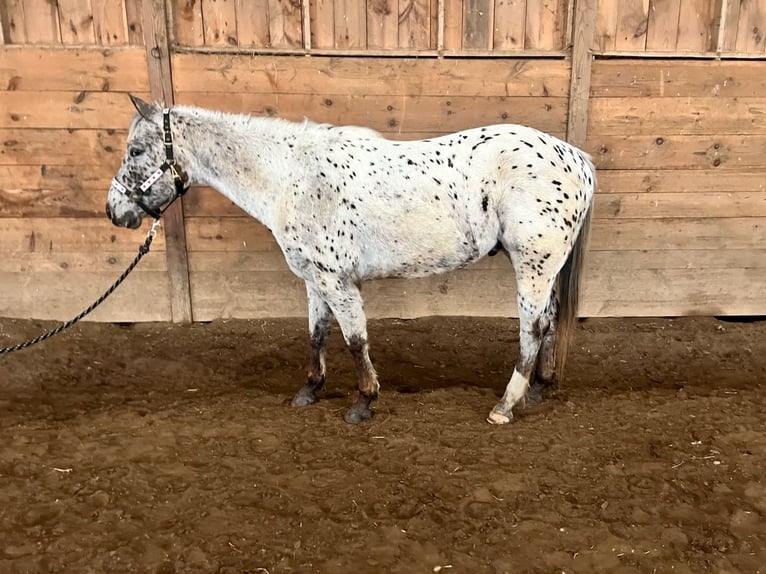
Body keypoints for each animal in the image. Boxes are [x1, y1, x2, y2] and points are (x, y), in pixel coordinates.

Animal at [106, 95, 595, 425]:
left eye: (135, 151)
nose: (115, 212)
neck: (292, 177)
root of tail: (577, 159)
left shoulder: (336, 280)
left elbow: (355, 340)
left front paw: (363, 402)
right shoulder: (314, 280)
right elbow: (317, 336)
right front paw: (309, 391)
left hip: (533, 264)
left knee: (532, 327)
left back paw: (505, 406)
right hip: (544, 268)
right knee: (548, 320)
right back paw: (537, 390)